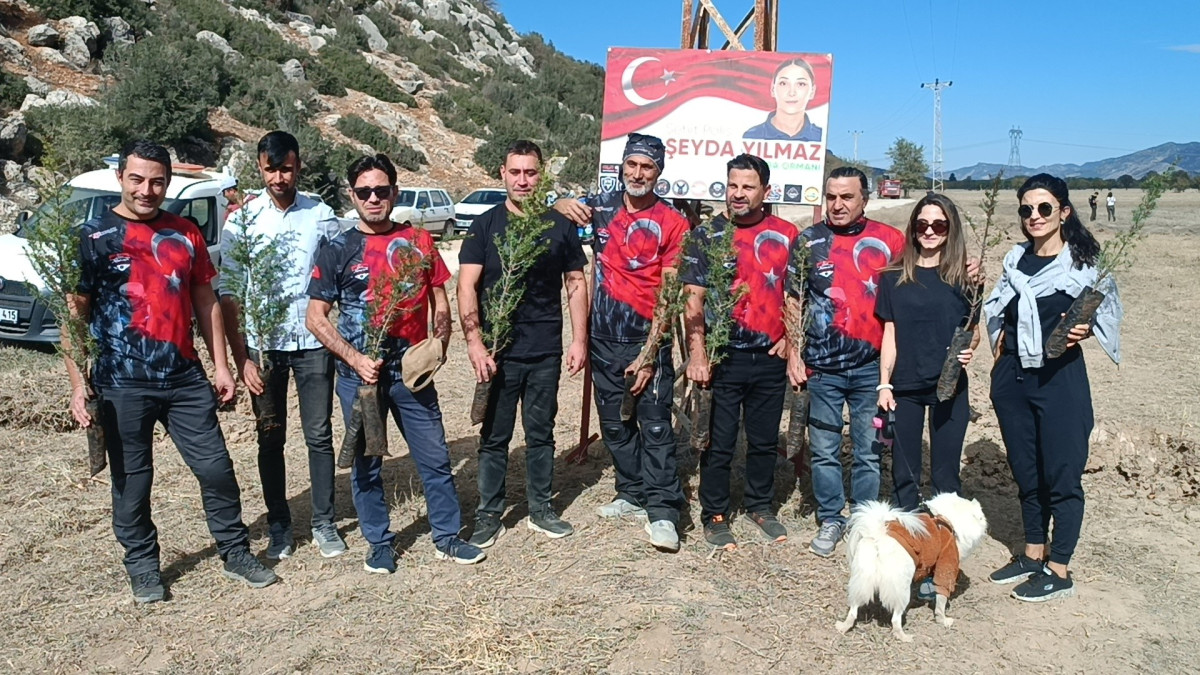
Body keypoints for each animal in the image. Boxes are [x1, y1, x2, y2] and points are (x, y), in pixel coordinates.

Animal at [835, 492, 984, 638]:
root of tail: (878, 536)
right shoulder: (946, 561)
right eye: (981, 517)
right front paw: (943, 620)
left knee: (853, 610)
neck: (946, 519)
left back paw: (843, 627)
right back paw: (903, 636)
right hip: (901, 591)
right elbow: (941, 599)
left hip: (861, 581)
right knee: (895, 619)